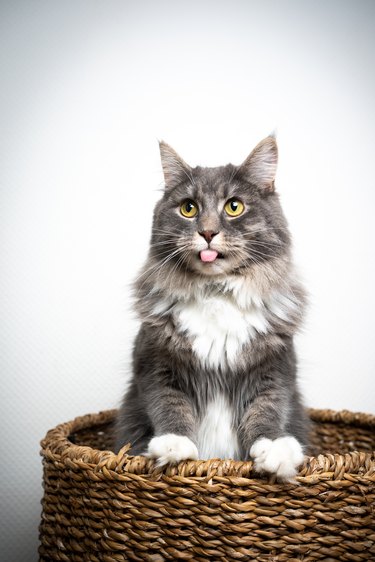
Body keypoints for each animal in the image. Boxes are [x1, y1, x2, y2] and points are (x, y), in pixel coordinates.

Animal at [116, 136, 310, 476]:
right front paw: (174, 446)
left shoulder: (274, 370)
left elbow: (267, 411)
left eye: (234, 207)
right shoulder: (156, 366)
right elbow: (169, 407)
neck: (216, 292)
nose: (206, 233)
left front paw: (275, 451)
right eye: (188, 208)